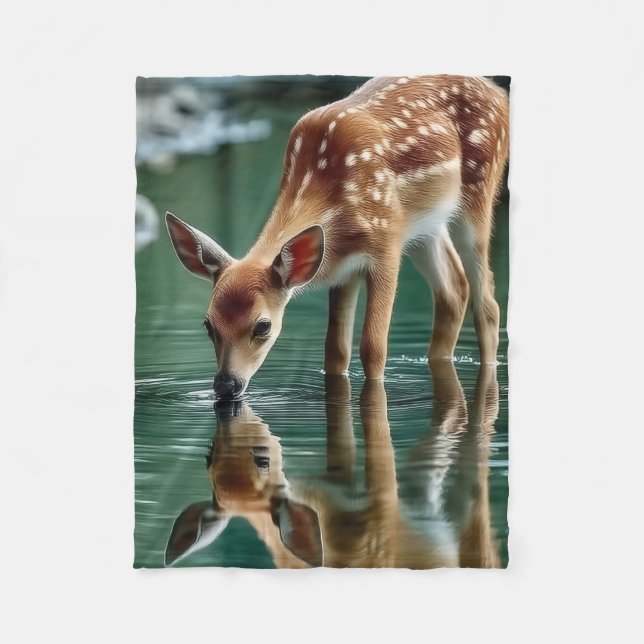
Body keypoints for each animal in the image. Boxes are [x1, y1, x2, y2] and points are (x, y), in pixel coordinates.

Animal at [166, 75, 510, 399]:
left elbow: (372, 346)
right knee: (453, 289)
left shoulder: (386, 243)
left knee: (488, 306)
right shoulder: (342, 269)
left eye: (263, 326)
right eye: (208, 324)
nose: (225, 385)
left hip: (478, 194)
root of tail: (499, 94)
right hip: (426, 226)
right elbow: (335, 351)